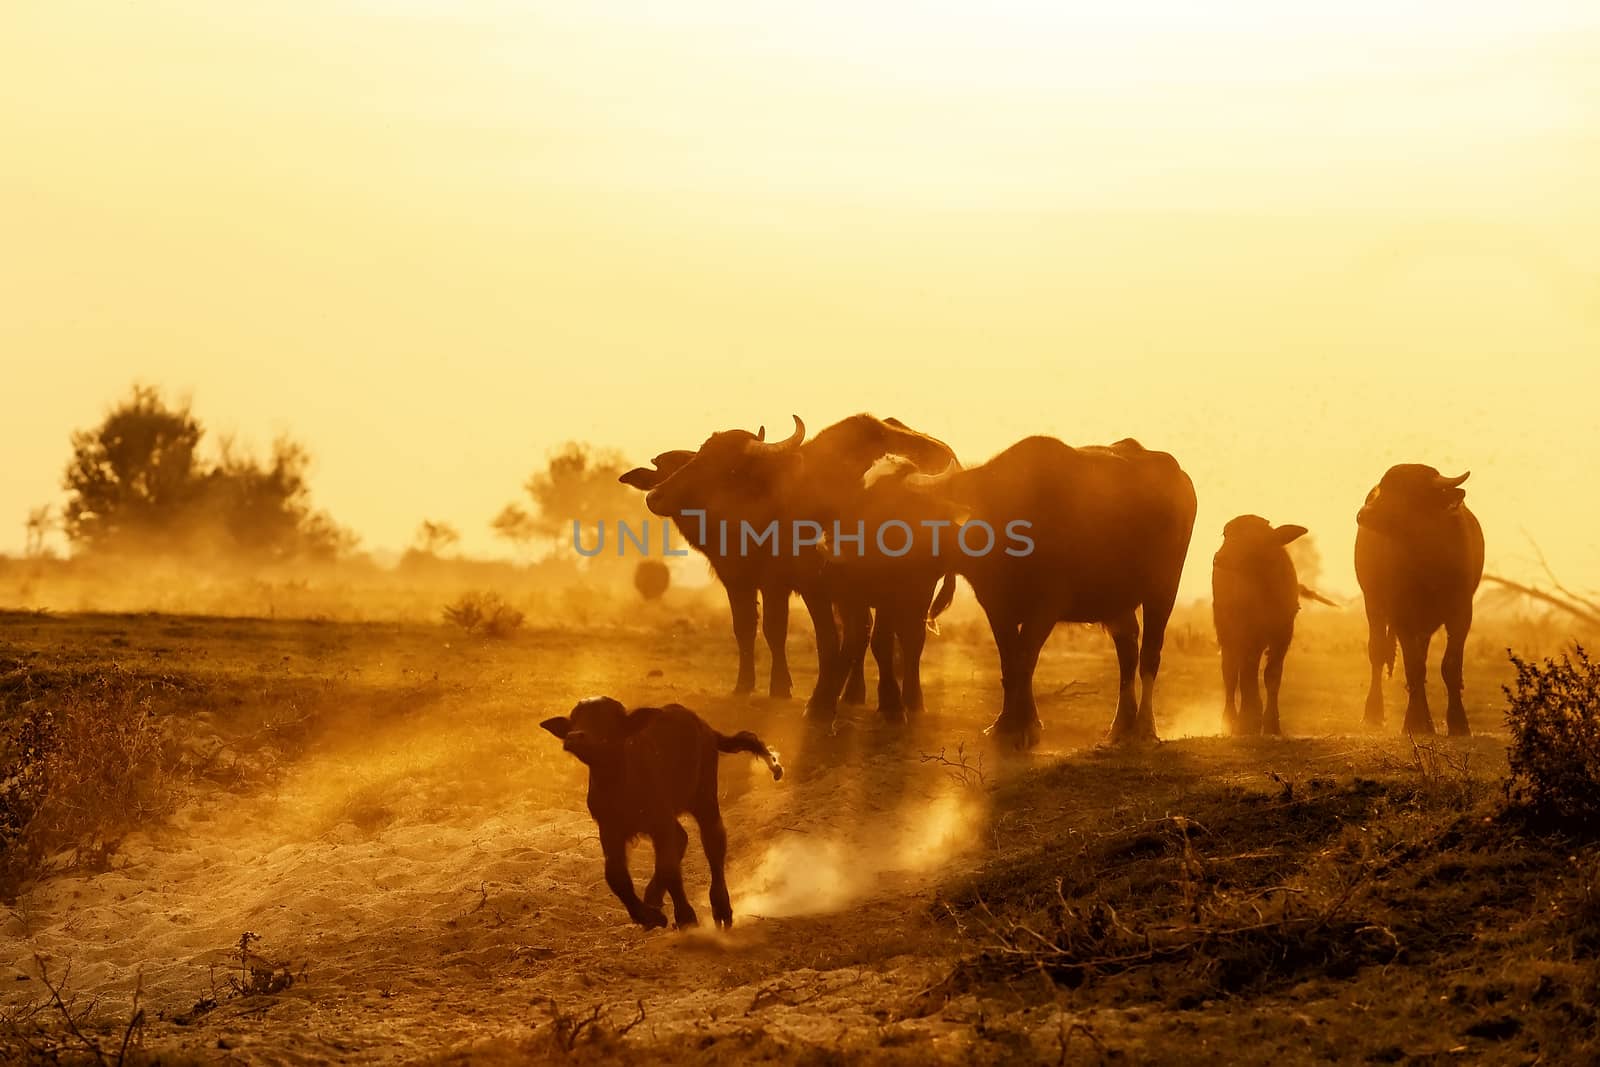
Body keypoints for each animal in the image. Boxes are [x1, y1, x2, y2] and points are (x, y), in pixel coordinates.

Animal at [544, 697, 780, 927]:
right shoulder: (609, 828)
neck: (619, 784)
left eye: (607, 718)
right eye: (574, 719)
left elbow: (669, 868)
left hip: (704, 798)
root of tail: (706, 728)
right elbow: (616, 876)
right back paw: (653, 897)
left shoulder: (661, 822)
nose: (574, 736)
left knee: (713, 842)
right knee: (682, 838)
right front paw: (648, 916)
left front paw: (685, 917)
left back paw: (721, 908)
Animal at [640, 412, 960, 723]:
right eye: (699, 455)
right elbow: (823, 640)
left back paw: (910, 700)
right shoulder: (803, 585)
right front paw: (817, 700)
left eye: (724, 466)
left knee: (909, 638)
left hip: (920, 588)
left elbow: (871, 640)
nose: (655, 495)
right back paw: (851, 694)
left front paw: (890, 705)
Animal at [908, 438, 1196, 748]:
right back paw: (1121, 726)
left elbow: (1025, 659)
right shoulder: (995, 606)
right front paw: (1005, 723)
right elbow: (1009, 661)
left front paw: (1026, 725)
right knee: (1128, 650)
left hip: (1164, 589)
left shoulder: (1046, 606)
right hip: (1117, 601)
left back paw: (1144, 727)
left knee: (1150, 654)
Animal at [1209, 515, 1324, 735]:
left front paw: (1271, 722)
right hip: (1227, 633)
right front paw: (1248, 720)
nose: (1219, 558)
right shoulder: (1246, 635)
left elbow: (1272, 675)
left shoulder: (1283, 635)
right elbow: (1246, 675)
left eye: (1254, 540)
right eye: (1226, 534)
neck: (1265, 589)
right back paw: (1230, 720)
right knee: (1231, 673)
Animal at [1356, 463, 1478, 735]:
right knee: (1377, 652)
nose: (1363, 513)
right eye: (1384, 488)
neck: (1425, 558)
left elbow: (1450, 665)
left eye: (1407, 492)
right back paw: (1372, 713)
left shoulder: (1462, 611)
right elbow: (1413, 666)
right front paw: (1416, 722)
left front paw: (1458, 722)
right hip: (1373, 603)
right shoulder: (1401, 615)